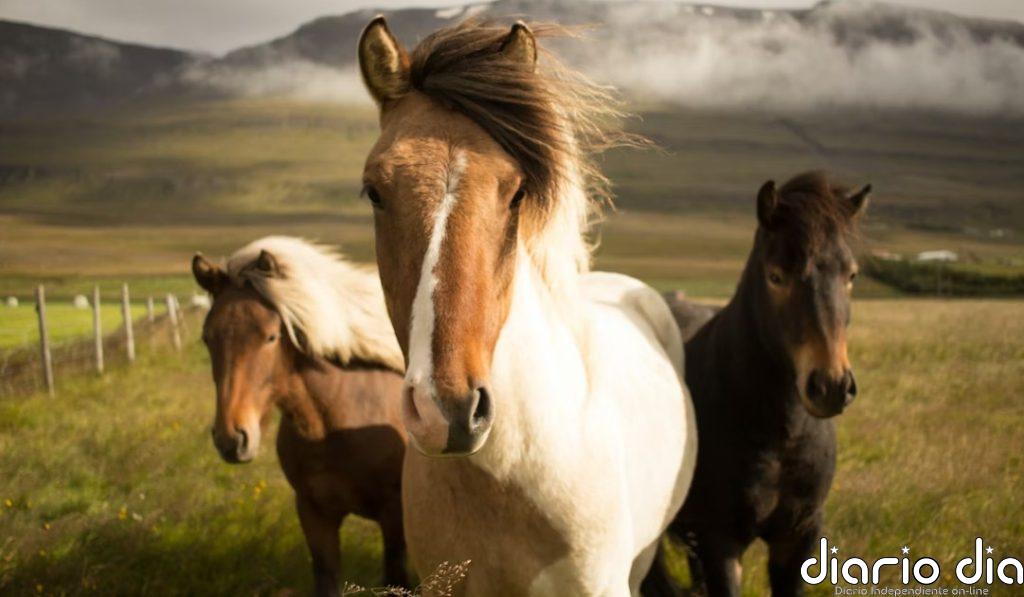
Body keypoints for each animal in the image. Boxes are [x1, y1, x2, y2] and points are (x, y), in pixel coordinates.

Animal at [191, 236, 410, 596]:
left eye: (270, 336)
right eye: (207, 337)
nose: (231, 439)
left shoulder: (394, 517)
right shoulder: (313, 514)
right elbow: (327, 578)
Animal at [643, 172, 872, 596]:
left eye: (851, 275)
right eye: (776, 276)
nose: (830, 385)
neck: (780, 436)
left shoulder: (797, 538)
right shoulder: (720, 542)